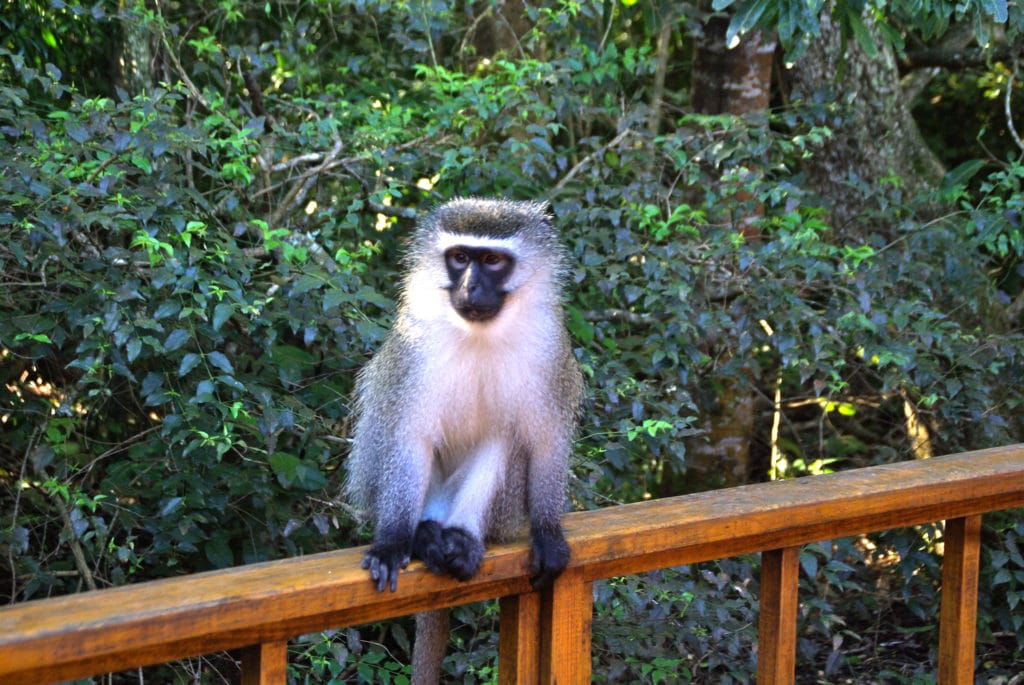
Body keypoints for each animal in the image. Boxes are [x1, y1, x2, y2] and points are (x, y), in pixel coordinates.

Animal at [346, 194, 581, 679]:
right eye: (459, 258)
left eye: (491, 261)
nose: (470, 288)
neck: (480, 334)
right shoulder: (415, 350)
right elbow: (408, 439)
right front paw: (393, 541)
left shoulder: (550, 350)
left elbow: (546, 439)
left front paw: (548, 532)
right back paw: (421, 535)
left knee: (504, 438)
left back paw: (460, 539)